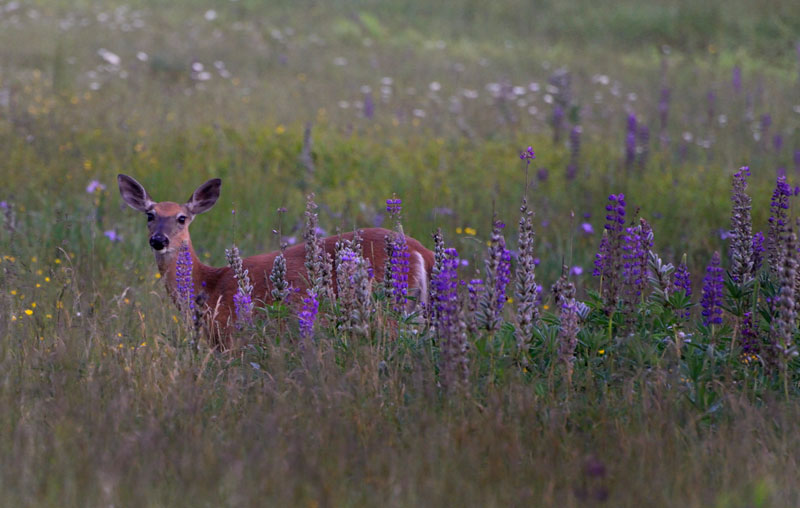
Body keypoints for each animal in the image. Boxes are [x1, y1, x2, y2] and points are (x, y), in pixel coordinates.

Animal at [115, 173, 434, 348]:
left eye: (182, 218)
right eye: (150, 215)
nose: (159, 240)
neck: (208, 284)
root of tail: (423, 252)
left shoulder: (229, 336)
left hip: (387, 310)